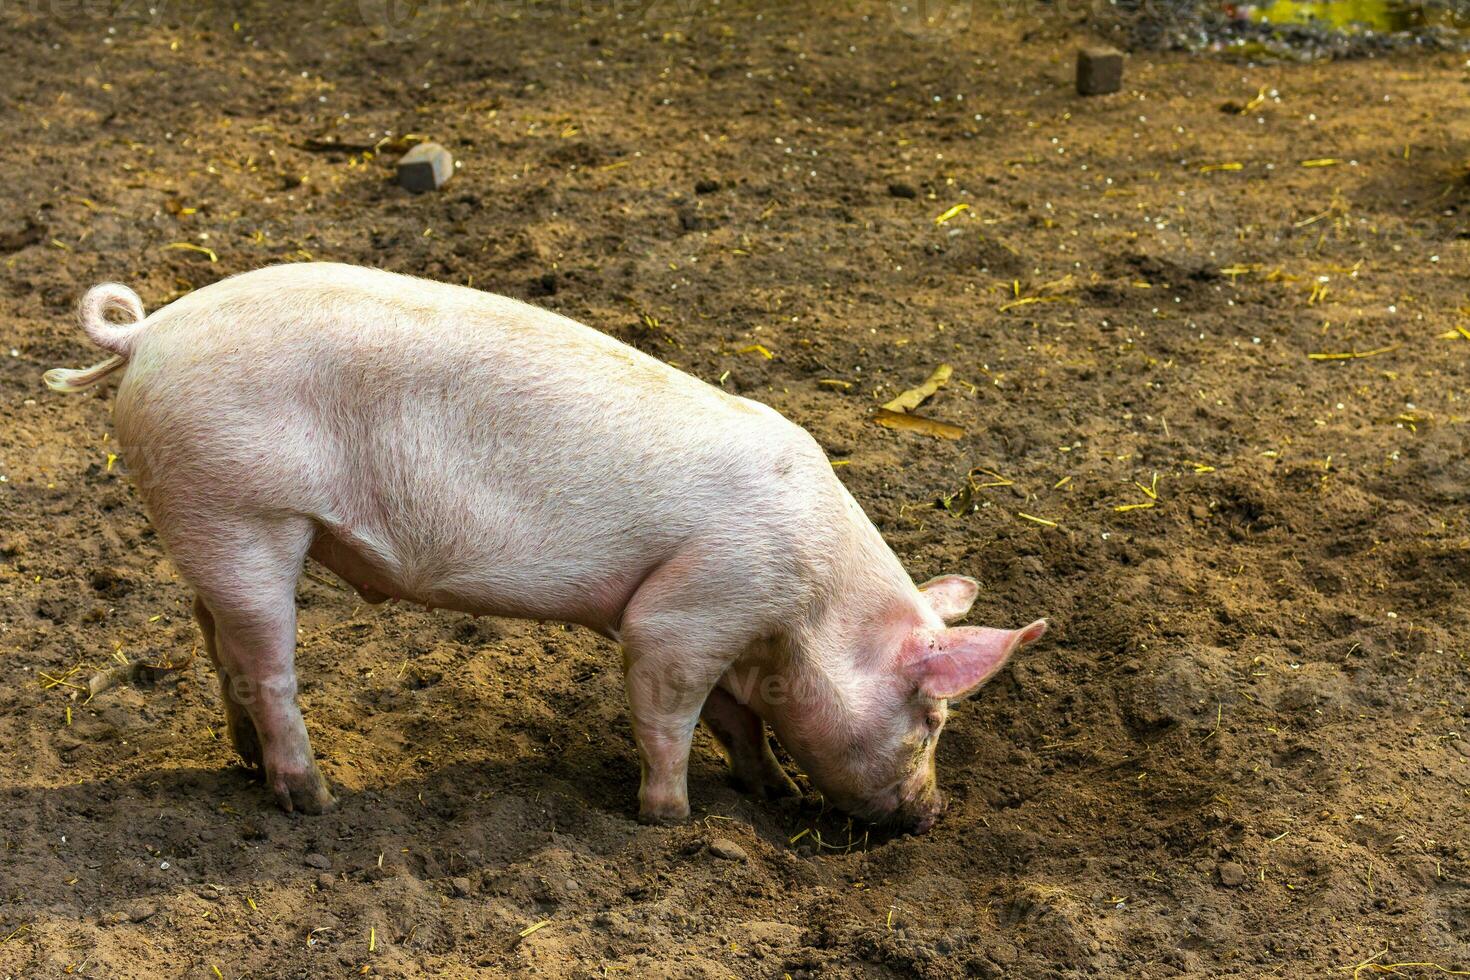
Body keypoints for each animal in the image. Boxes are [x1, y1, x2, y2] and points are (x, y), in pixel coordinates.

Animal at [48, 264, 1046, 834]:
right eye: (932, 718)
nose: (933, 815)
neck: (805, 616)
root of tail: (149, 330)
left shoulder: (729, 627)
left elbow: (738, 719)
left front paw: (775, 795)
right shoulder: (687, 610)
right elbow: (671, 711)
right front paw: (669, 819)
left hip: (207, 523)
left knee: (214, 639)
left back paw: (250, 766)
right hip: (243, 511)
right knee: (265, 665)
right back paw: (313, 799)